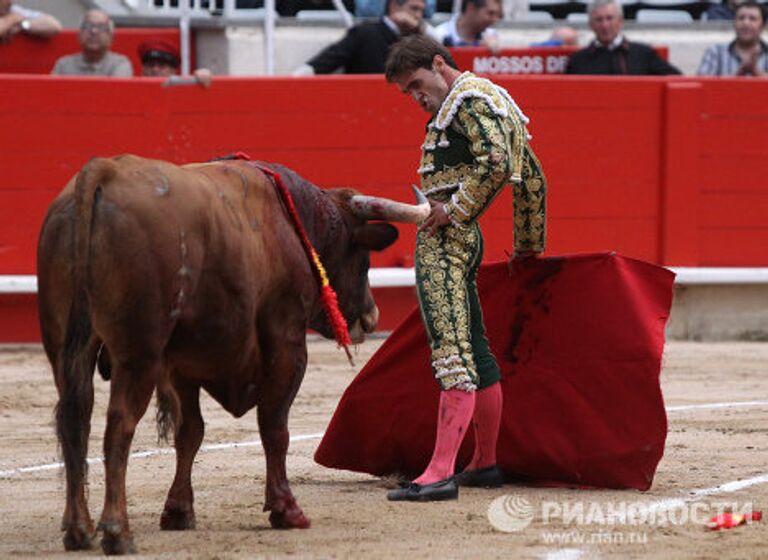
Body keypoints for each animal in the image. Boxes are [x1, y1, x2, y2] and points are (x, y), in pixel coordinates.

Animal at [36, 155, 428, 552]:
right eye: (363, 259)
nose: (372, 316)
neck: (291, 223)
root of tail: (101, 172)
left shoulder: (182, 364)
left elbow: (190, 431)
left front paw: (178, 511)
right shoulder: (286, 341)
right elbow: (274, 426)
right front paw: (286, 509)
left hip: (64, 350)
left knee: (74, 421)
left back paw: (79, 529)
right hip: (139, 353)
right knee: (119, 423)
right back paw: (117, 531)